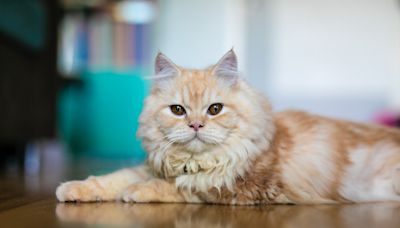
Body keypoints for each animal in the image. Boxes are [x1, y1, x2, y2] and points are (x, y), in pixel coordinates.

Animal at [55, 49, 400, 204]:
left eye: (215, 109)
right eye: (178, 110)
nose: (195, 124)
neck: (196, 162)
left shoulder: (239, 188)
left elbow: (181, 187)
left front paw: (134, 193)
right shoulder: (153, 166)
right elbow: (112, 178)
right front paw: (71, 188)